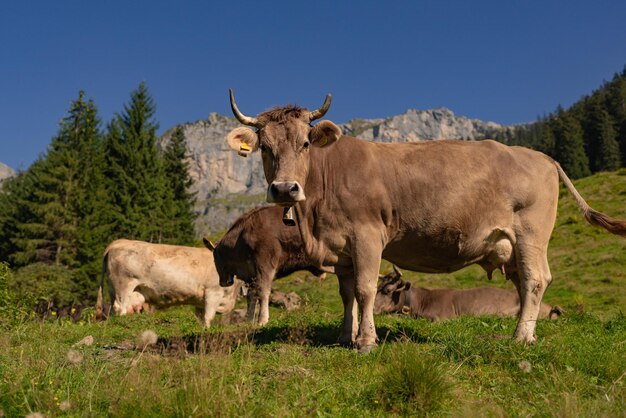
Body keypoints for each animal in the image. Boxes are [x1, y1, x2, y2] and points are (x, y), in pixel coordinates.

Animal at [95, 238, 241, 326]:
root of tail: (119, 241)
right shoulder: (213, 292)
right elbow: (208, 317)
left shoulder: (201, 300)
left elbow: (201, 318)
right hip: (123, 286)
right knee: (121, 308)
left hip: (115, 288)